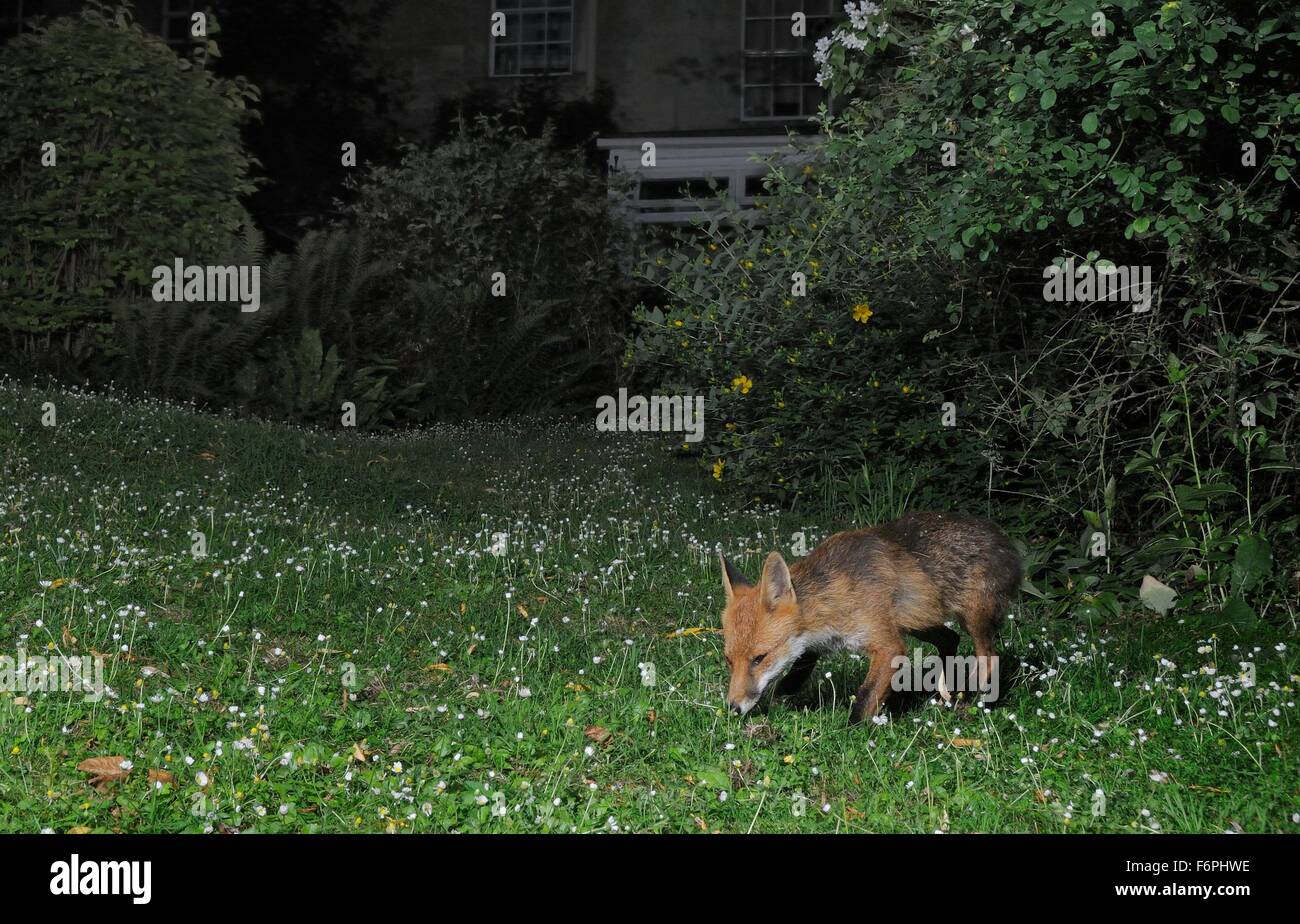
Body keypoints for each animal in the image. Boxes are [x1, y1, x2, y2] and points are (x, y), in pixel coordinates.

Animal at [717, 512, 1019, 722]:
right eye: (729, 660)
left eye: (759, 658)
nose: (733, 708)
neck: (833, 597)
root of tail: (1003, 538)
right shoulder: (821, 638)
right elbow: (801, 663)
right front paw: (784, 693)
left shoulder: (888, 646)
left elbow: (865, 697)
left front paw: (851, 733)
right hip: (915, 621)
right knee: (950, 638)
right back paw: (947, 692)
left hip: (972, 620)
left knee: (988, 656)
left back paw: (976, 703)